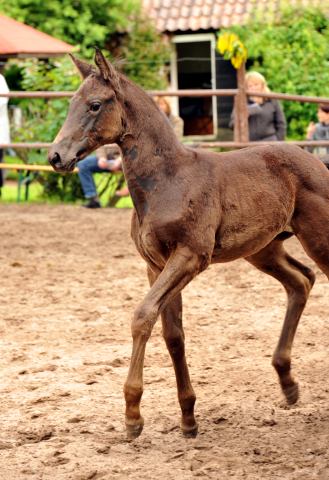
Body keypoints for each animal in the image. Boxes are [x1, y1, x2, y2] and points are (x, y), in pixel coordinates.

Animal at [47, 48, 328, 438]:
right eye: (72, 102)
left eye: (94, 104)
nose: (56, 156)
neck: (166, 180)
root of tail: (315, 159)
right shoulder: (156, 265)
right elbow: (172, 335)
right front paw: (188, 417)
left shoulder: (191, 257)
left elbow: (142, 316)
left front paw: (133, 415)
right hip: (264, 249)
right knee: (301, 281)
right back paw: (287, 383)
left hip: (317, 238)